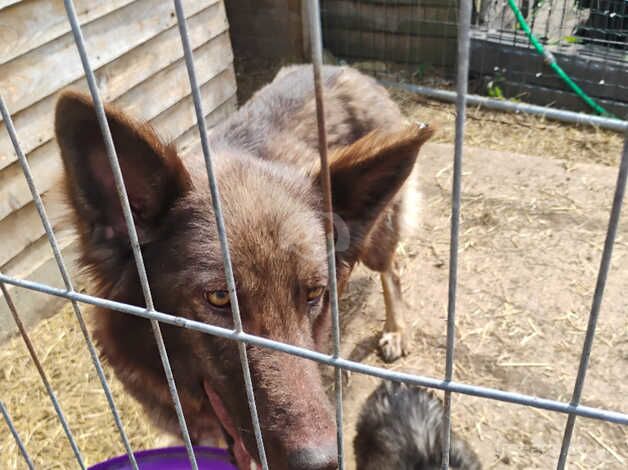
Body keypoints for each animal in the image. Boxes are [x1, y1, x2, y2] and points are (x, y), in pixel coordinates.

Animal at [55, 65, 432, 470]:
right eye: (219, 297)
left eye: (315, 293)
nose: (323, 462)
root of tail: (344, 69)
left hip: (377, 239)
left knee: (392, 267)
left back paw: (396, 329)